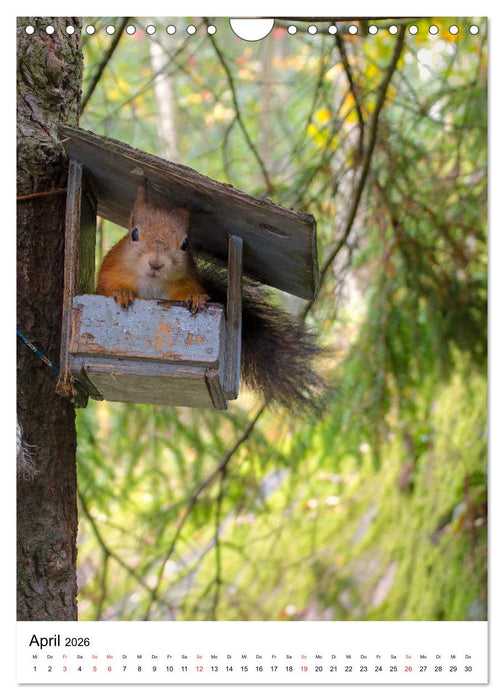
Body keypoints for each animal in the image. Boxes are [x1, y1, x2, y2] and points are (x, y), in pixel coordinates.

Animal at [96, 184, 326, 412]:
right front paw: (122, 293)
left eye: (185, 243)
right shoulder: (111, 270)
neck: (152, 282)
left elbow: (188, 293)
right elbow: (107, 287)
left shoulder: (186, 281)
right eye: (134, 233)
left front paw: (195, 299)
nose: (156, 263)